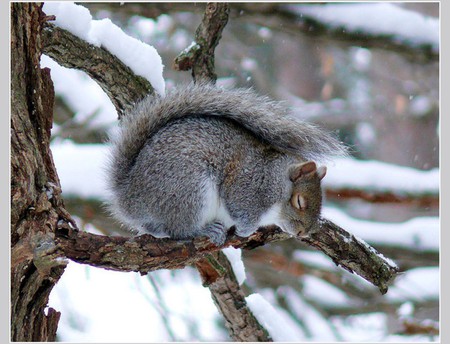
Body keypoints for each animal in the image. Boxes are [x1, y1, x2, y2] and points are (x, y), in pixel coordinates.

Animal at [105, 82, 344, 245]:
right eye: (299, 201)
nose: (304, 232)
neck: (276, 177)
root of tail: (130, 196)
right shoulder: (248, 187)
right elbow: (240, 210)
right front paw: (246, 230)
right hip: (189, 191)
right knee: (179, 231)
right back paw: (204, 231)